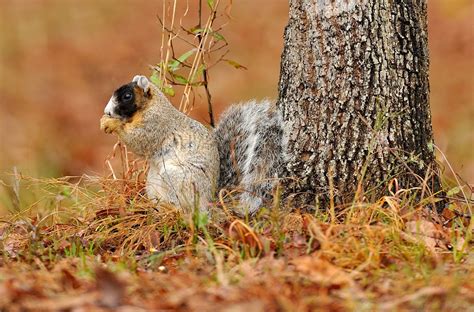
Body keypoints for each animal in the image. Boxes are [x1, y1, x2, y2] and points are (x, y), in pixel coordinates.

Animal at [100, 75, 284, 214]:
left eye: (127, 96)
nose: (107, 111)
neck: (152, 106)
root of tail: (207, 203)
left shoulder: (156, 124)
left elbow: (140, 140)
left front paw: (112, 124)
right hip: (153, 181)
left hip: (176, 178)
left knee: (183, 207)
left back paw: (170, 207)